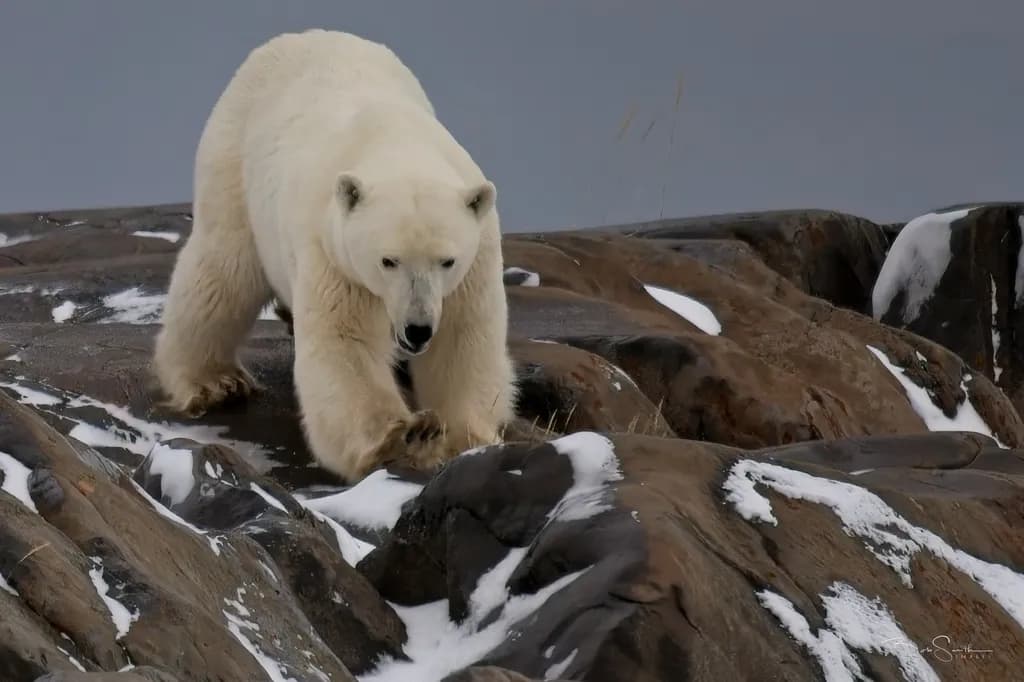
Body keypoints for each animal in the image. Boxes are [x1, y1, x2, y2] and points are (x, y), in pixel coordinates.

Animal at [152, 29, 518, 482]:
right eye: (388, 260)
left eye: (446, 261)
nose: (417, 329)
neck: (396, 143)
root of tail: (297, 36)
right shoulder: (333, 253)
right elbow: (346, 342)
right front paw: (404, 438)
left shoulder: (475, 261)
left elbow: (462, 337)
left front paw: (465, 437)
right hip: (233, 163)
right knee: (222, 273)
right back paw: (214, 382)